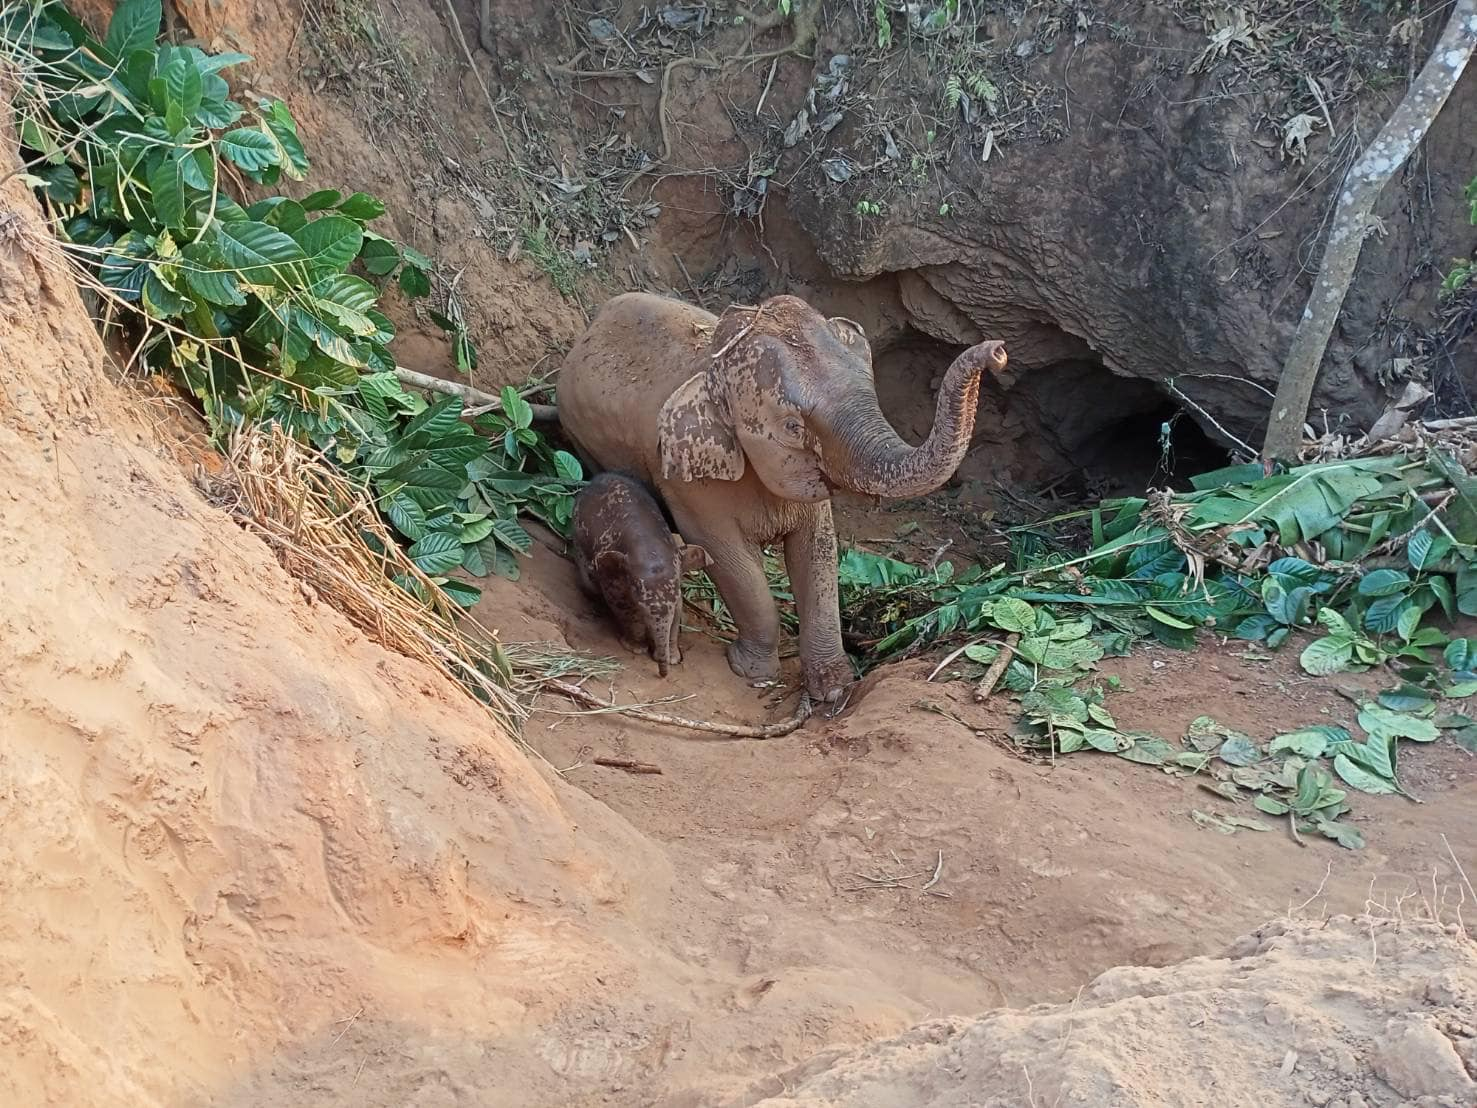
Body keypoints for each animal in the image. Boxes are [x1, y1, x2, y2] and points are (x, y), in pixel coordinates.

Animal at [570, 469, 708, 676]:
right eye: (640, 604)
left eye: (676, 594)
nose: (662, 674)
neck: (649, 545)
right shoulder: (613, 578)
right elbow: (623, 606)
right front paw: (637, 648)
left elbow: (678, 610)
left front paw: (673, 658)